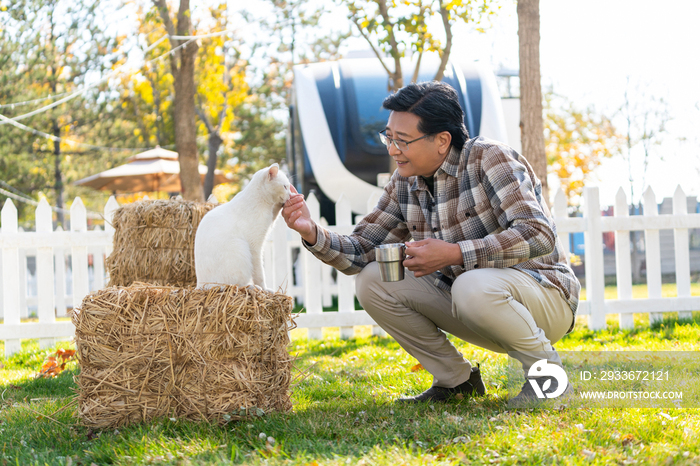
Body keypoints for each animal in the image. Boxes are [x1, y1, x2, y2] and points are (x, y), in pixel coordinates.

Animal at [193, 162, 292, 290]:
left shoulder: (269, 221)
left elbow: (275, 212)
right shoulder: (255, 247)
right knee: (235, 285)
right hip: (240, 248)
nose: (290, 195)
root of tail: (199, 285)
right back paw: (252, 287)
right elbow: (259, 273)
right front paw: (265, 289)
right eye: (285, 187)